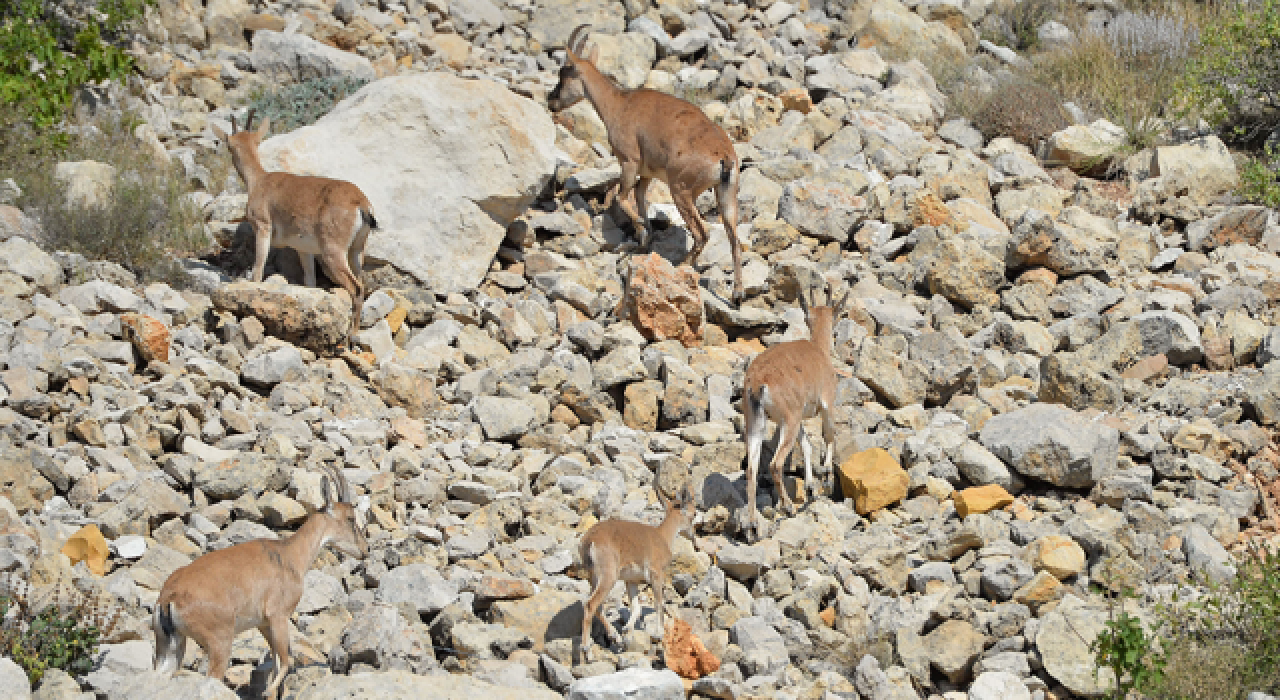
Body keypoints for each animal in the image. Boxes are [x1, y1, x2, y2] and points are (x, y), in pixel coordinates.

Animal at [153, 463, 371, 696]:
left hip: (170, 647)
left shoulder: (264, 624)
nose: (365, 550)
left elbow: (276, 664)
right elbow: (286, 662)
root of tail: (168, 598)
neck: (289, 555)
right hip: (220, 642)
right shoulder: (278, 617)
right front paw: (267, 691)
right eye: (350, 518)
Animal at [545, 23, 747, 304]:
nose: (551, 100)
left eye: (564, 74)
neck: (619, 103)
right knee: (734, 239)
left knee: (702, 233)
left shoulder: (629, 161)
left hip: (681, 190)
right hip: (727, 194)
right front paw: (645, 235)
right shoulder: (648, 172)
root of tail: (724, 157)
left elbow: (622, 197)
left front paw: (642, 230)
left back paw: (681, 266)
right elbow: (640, 195)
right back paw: (737, 293)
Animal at [581, 476, 696, 665]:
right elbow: (659, 603)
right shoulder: (657, 574)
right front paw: (659, 633)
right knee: (591, 604)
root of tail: (589, 540)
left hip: (594, 577)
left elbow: (636, 608)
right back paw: (586, 650)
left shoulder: (631, 581)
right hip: (608, 576)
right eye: (694, 514)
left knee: (597, 606)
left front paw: (627, 632)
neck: (662, 537)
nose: (693, 536)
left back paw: (614, 637)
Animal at [742, 287, 849, 545]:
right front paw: (826, 476)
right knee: (775, 464)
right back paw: (788, 507)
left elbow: (807, 444)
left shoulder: (798, 416)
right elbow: (829, 435)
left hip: (757, 424)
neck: (819, 352)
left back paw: (752, 526)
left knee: (751, 470)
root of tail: (757, 383)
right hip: (787, 421)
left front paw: (810, 486)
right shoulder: (826, 404)